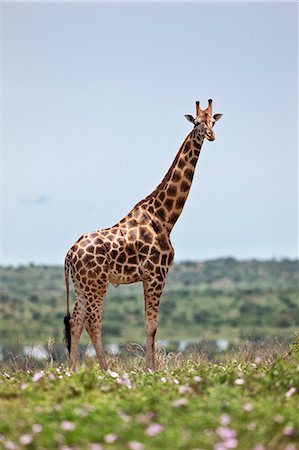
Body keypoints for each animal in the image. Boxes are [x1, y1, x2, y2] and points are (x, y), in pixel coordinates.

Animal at [63, 100, 223, 370]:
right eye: (197, 123)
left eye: (213, 121)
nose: (211, 135)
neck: (165, 217)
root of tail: (69, 255)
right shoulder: (157, 274)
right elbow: (152, 325)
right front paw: (151, 369)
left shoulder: (148, 277)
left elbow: (149, 325)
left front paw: (150, 367)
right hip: (97, 283)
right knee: (93, 323)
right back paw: (106, 370)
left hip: (82, 285)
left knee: (75, 321)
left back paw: (72, 371)